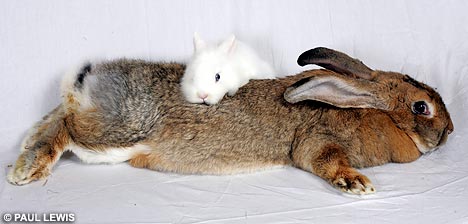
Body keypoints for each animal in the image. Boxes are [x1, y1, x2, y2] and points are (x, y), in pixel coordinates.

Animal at [7, 47, 454, 194]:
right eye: (422, 107)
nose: (451, 130)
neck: (366, 107)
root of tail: (86, 79)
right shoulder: (317, 139)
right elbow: (324, 160)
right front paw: (358, 184)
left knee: (55, 115)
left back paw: (24, 159)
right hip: (118, 133)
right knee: (65, 126)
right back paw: (25, 171)